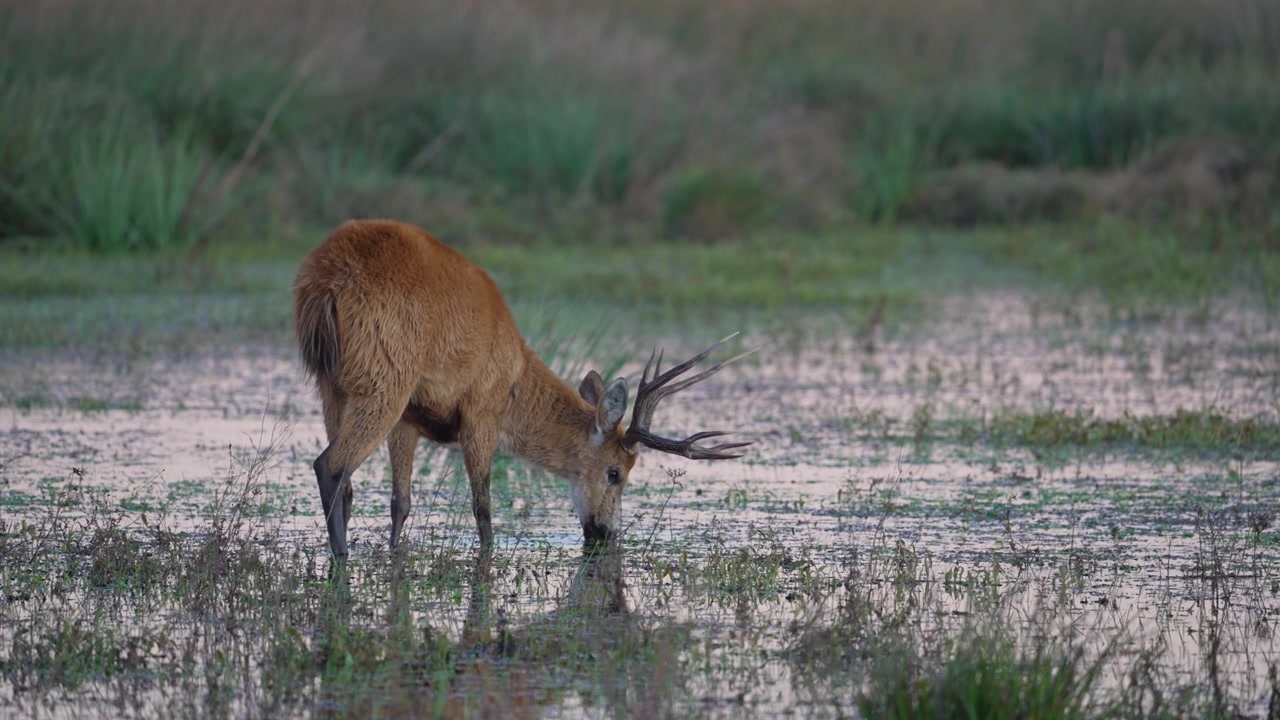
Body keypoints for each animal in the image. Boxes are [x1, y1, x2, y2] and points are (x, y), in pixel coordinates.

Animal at [293, 219, 751, 557]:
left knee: (347, 480)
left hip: (333, 384)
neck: (514, 383)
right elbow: (482, 506)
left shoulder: (412, 418)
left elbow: (400, 504)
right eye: (616, 472)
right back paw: (340, 559)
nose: (605, 533)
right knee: (330, 465)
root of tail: (326, 280)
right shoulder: (480, 411)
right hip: (386, 374)